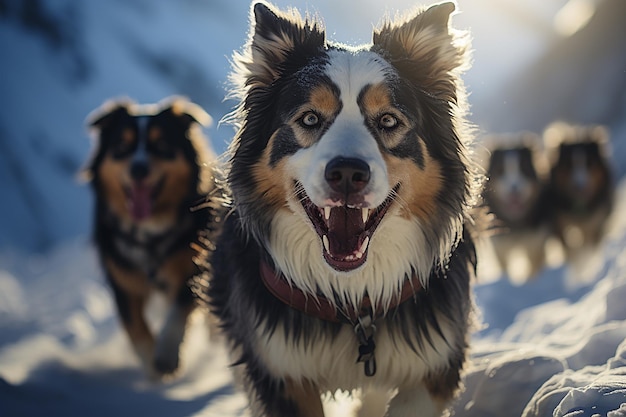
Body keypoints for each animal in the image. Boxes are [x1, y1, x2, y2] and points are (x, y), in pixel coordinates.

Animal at [81, 96, 217, 376]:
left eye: (162, 145)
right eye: (122, 146)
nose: (138, 169)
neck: (149, 232)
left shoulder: (195, 263)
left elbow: (178, 309)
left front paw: (166, 354)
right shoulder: (121, 278)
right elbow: (135, 327)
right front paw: (152, 366)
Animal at [199, 1, 478, 414]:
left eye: (388, 120)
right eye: (310, 118)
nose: (347, 173)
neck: (352, 297)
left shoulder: (435, 360)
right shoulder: (280, 370)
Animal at [480, 133, 548, 282]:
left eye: (524, 170)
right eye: (501, 171)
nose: (514, 190)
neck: (515, 223)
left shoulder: (535, 240)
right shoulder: (500, 245)